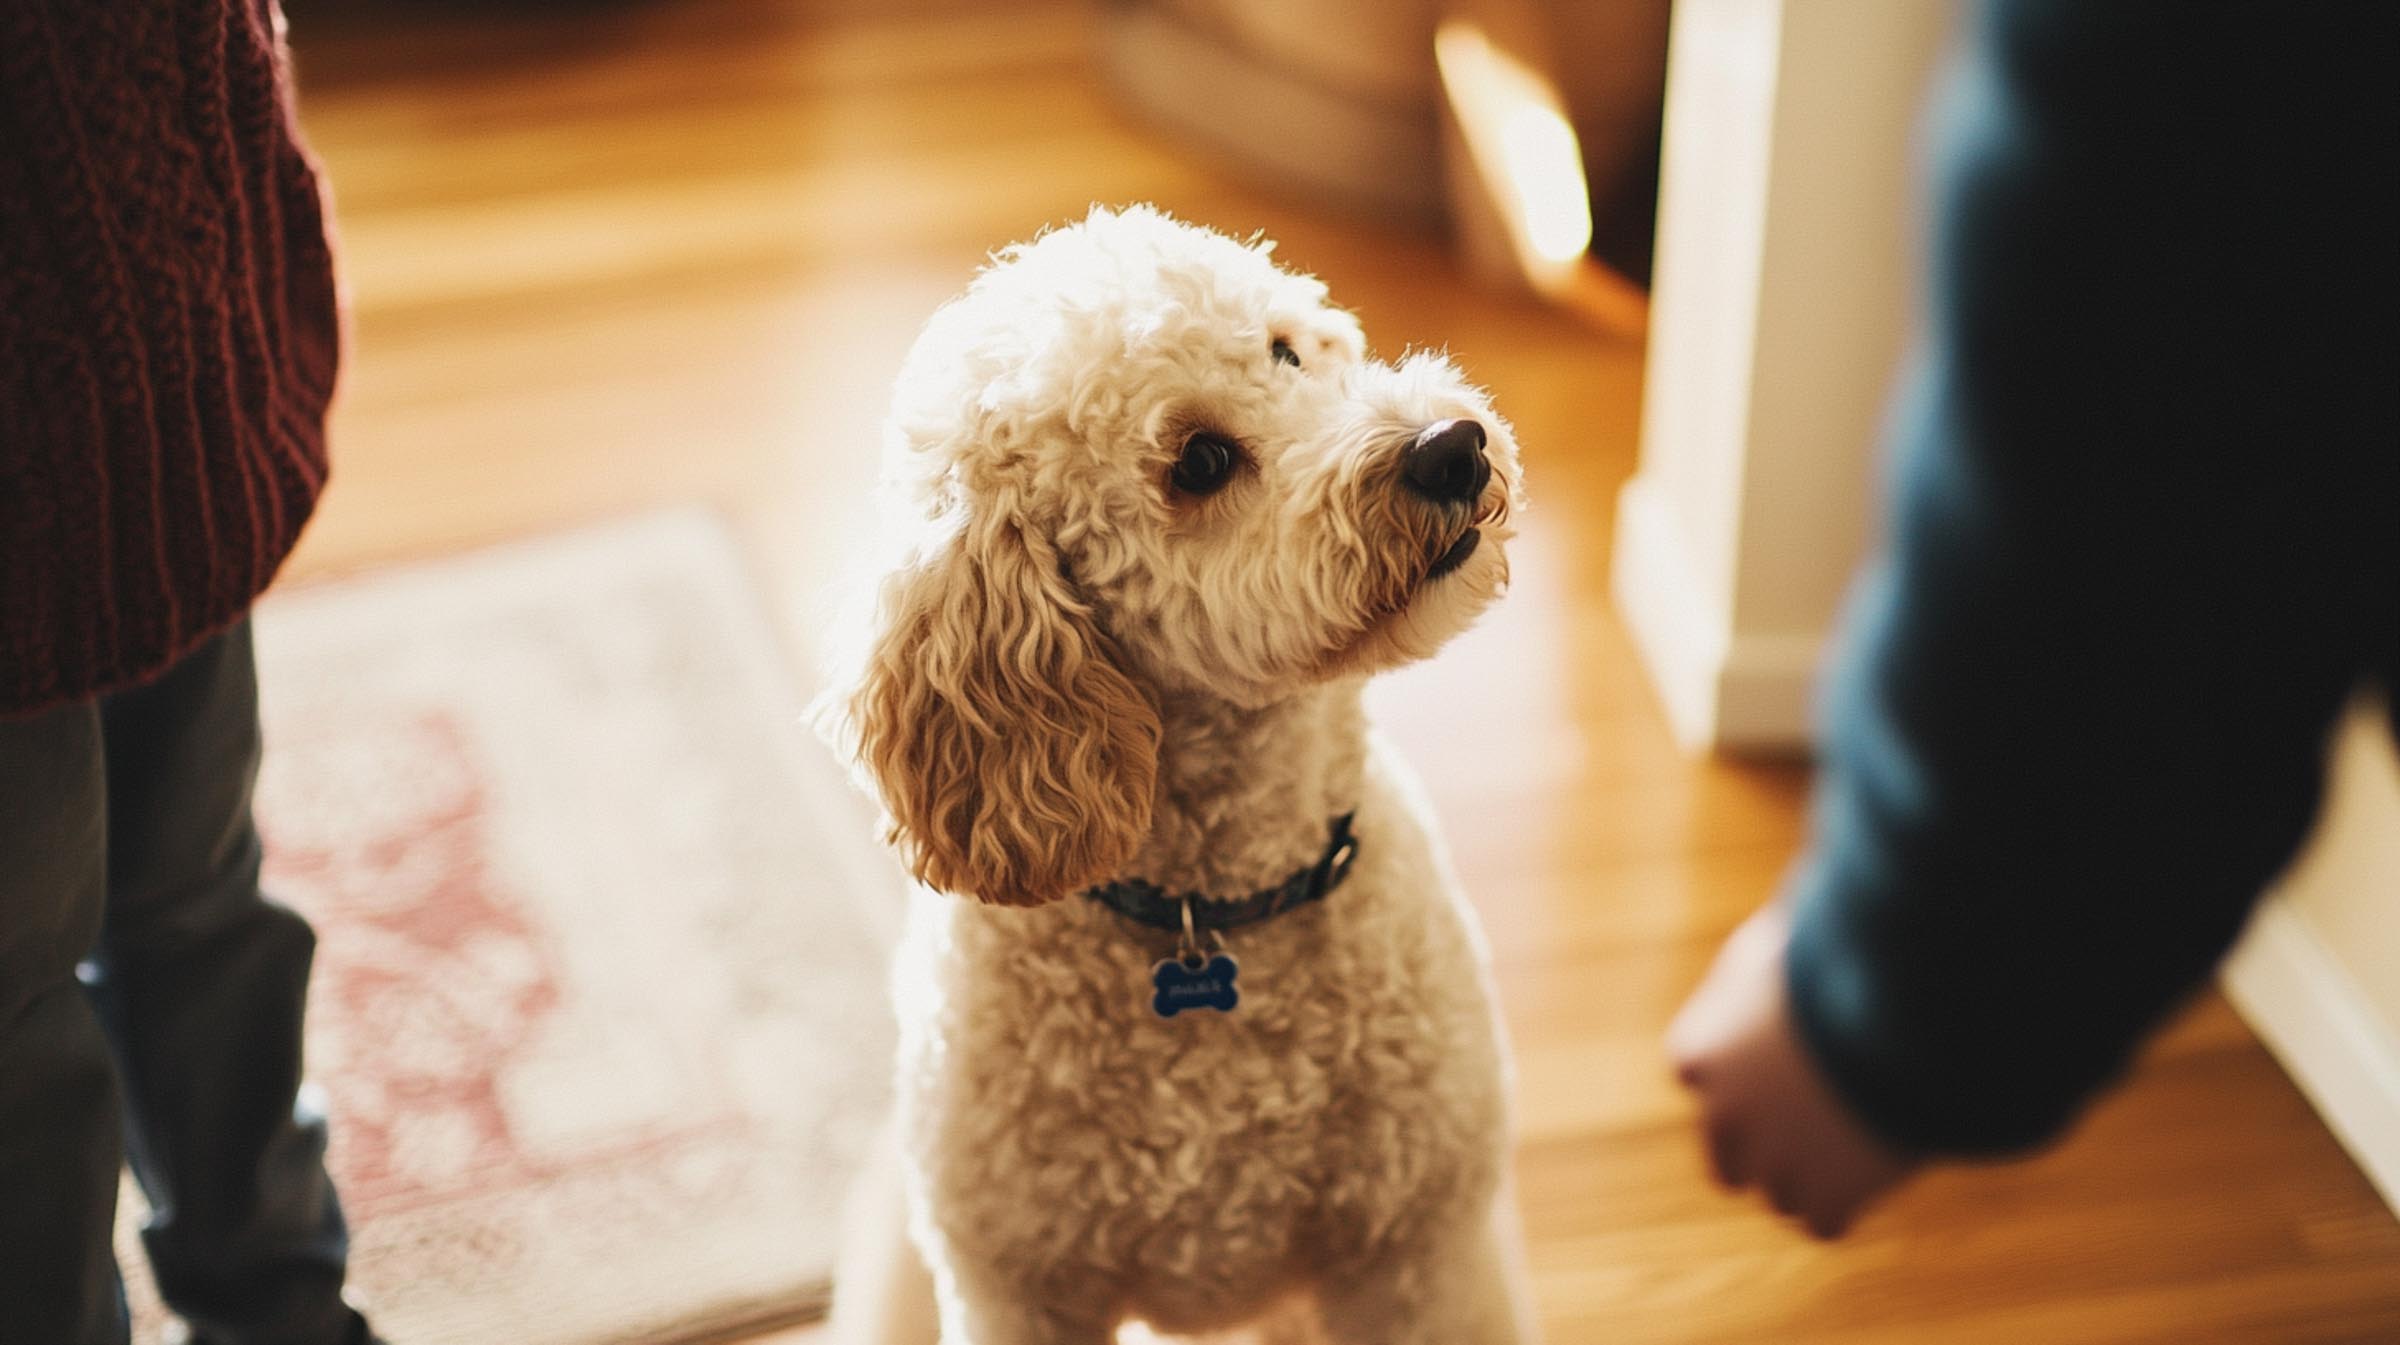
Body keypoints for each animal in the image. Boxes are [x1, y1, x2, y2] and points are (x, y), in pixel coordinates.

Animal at [825, 207, 1536, 1345]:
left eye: (1288, 352)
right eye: (1201, 460)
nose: (1450, 448)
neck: (1217, 907)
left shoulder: (1417, 1255)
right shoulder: (1022, 1289)